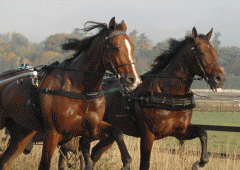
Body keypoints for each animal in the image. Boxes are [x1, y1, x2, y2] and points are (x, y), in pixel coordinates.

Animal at [0, 17, 142, 170]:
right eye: (116, 47)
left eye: (132, 47)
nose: (134, 80)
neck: (82, 91)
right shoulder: (53, 134)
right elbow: (45, 164)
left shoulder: (91, 129)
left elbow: (117, 132)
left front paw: (126, 162)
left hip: (22, 133)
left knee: (5, 161)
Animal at [76, 27, 226, 169]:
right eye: (201, 52)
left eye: (215, 52)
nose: (219, 79)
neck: (168, 95)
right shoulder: (148, 135)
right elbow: (145, 164)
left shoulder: (180, 131)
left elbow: (203, 132)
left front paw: (201, 162)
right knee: (84, 145)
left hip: (107, 133)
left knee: (95, 152)